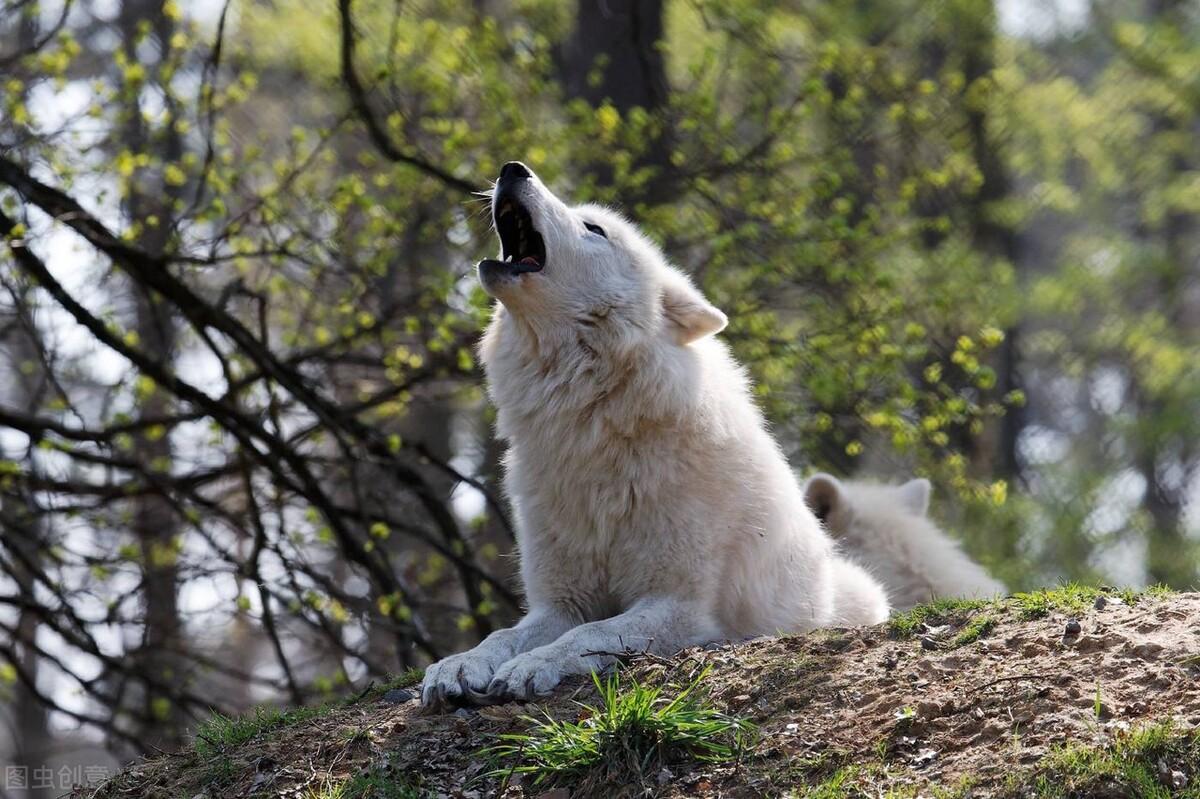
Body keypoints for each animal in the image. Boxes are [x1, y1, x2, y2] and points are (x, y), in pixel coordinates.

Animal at [422, 160, 892, 705]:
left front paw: (530, 667)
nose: (512, 168)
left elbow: (587, 635)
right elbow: (503, 634)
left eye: (594, 229)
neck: (594, 428)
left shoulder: (678, 604)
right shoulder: (561, 602)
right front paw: (459, 665)